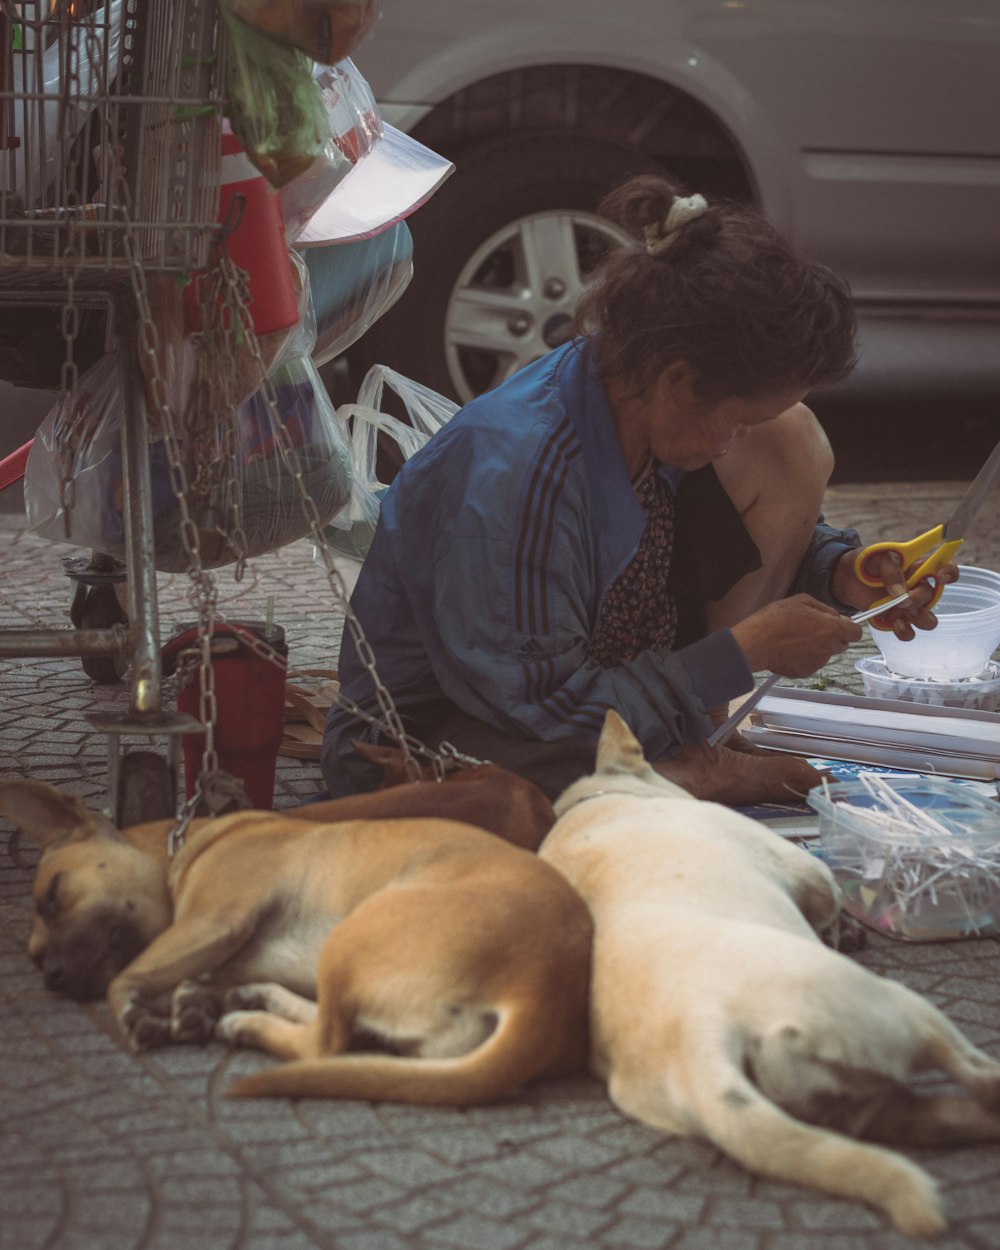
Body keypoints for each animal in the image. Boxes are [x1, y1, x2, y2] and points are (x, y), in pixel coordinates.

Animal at [1, 780, 595, 1105]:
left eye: (52, 896)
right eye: (35, 956)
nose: (52, 977)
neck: (181, 851)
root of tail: (543, 992)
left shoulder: (215, 920)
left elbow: (126, 977)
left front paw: (138, 1013)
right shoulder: (208, 946)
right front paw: (189, 1004)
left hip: (352, 932)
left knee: (325, 1043)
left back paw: (247, 1021)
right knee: (337, 1032)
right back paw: (251, 1003)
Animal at [542, 710, 1000, 1235]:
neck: (602, 800)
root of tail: (699, 1040)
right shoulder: (809, 872)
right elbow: (828, 905)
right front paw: (842, 930)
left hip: (843, 1106)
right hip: (895, 1011)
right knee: (975, 1072)